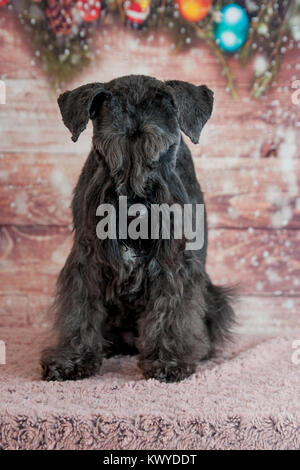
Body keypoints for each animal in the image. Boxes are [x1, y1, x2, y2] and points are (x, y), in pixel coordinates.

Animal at [41, 74, 234, 382]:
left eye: (165, 147)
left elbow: (171, 310)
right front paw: (72, 358)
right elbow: (79, 309)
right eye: (102, 150)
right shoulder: (86, 258)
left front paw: (168, 360)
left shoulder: (175, 261)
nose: (135, 209)